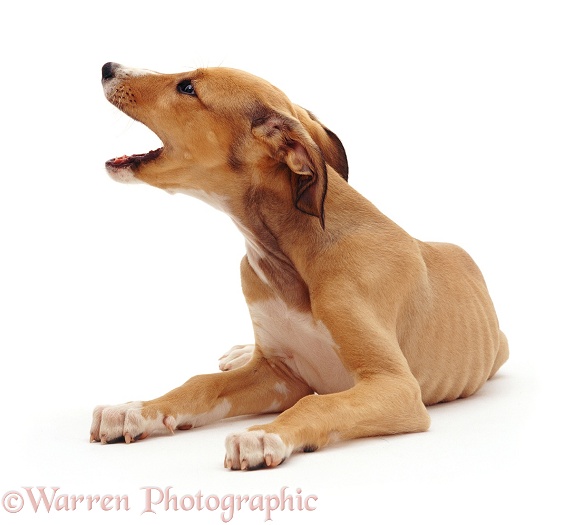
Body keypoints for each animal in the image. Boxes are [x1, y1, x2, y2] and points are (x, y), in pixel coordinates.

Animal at [91, 62, 506, 470]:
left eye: (188, 87)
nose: (108, 67)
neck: (291, 257)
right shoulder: (279, 377)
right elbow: (201, 383)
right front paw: (133, 409)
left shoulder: (395, 385)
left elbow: (317, 403)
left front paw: (263, 434)